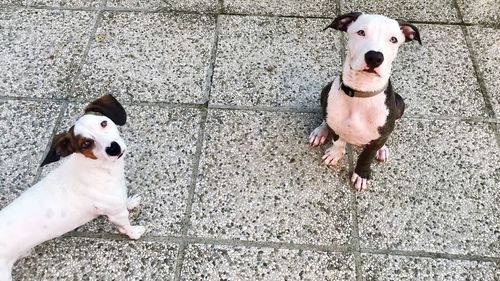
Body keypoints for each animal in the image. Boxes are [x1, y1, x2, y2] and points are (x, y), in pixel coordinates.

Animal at [0, 94, 146, 280]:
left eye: (103, 123)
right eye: (86, 144)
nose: (113, 148)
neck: (98, 168)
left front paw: (130, 201)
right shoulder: (117, 215)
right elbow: (126, 226)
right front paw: (134, 232)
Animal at [308, 12, 422, 189]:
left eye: (393, 39)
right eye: (361, 32)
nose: (374, 57)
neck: (361, 91)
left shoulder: (377, 139)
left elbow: (367, 155)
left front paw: (361, 174)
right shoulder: (336, 125)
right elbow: (338, 141)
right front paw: (335, 153)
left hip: (400, 104)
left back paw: (382, 149)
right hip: (324, 92)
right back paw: (320, 131)